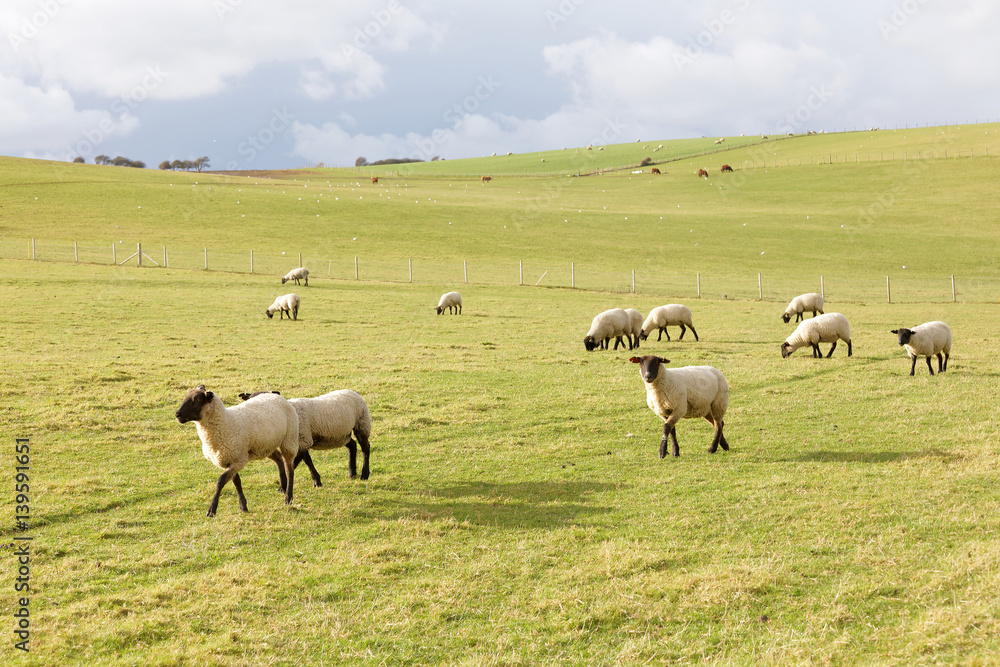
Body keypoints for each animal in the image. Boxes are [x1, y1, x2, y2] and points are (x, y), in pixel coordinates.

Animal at [175, 384, 296, 520]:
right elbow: (236, 482)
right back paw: (283, 486)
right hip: (266, 445)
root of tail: (276, 395)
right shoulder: (229, 459)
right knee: (279, 458)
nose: (177, 414)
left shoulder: (238, 460)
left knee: (289, 469)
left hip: (289, 439)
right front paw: (243, 506)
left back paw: (288, 497)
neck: (225, 423)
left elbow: (220, 481)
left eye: (197, 399)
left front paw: (212, 510)